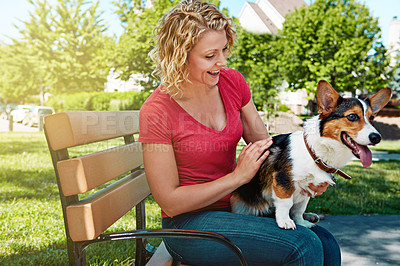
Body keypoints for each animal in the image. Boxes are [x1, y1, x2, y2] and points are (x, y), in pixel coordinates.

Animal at [231, 80, 390, 230]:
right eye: (352, 116)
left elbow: (298, 209)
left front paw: (301, 222)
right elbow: (286, 203)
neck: (314, 153)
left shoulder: (307, 190)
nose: (377, 137)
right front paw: (285, 221)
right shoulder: (283, 180)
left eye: (372, 118)